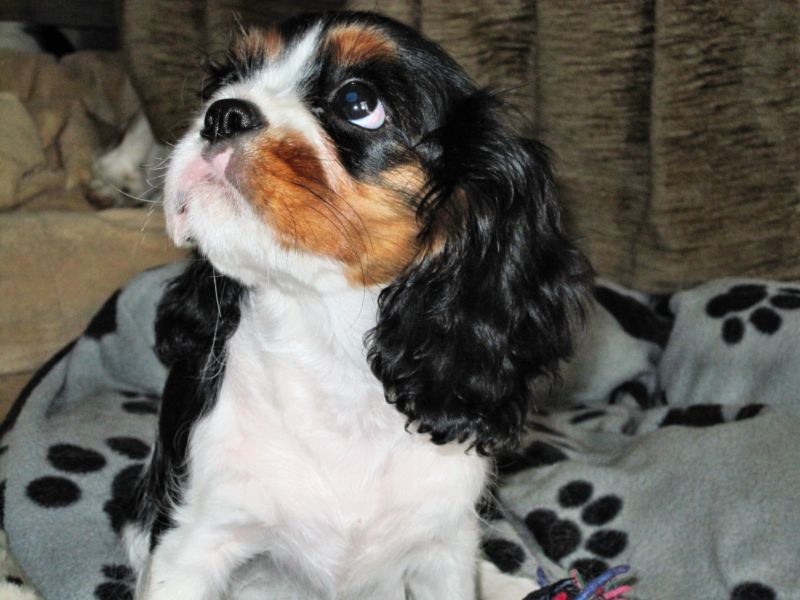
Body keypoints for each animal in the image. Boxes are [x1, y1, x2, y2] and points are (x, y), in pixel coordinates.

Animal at [127, 11, 590, 599]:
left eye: (357, 103)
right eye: (226, 80)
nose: (223, 114)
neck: (328, 345)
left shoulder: (442, 552)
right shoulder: (190, 542)